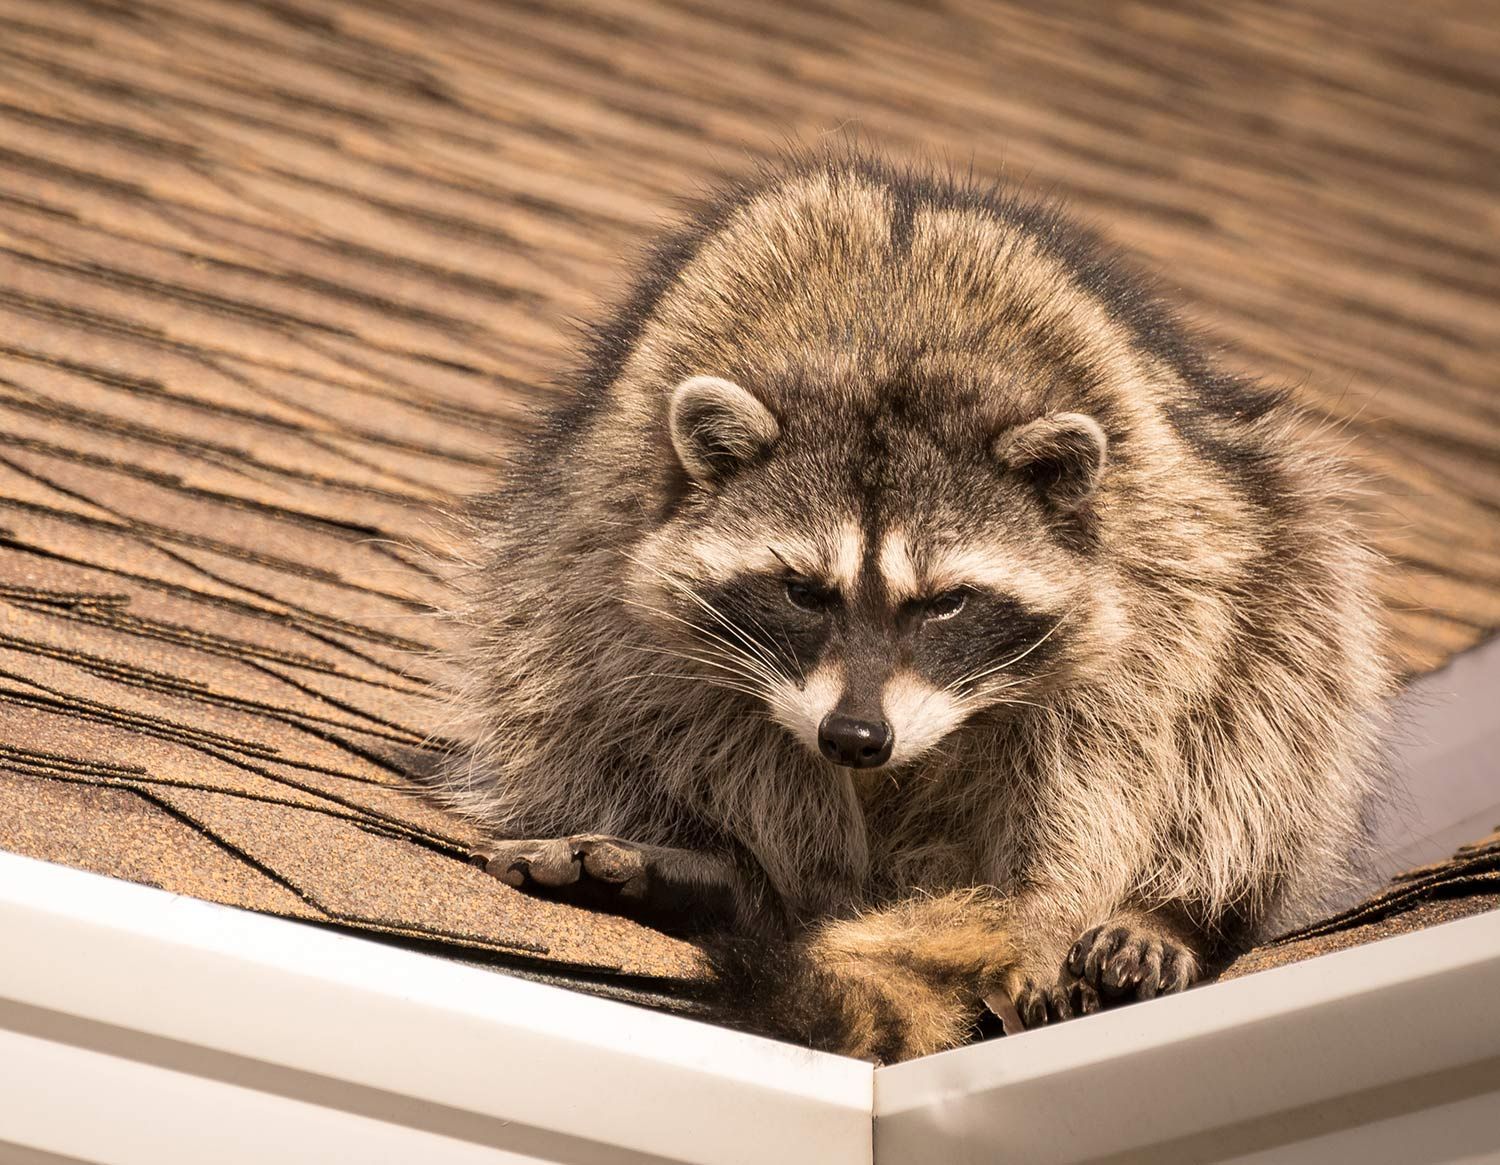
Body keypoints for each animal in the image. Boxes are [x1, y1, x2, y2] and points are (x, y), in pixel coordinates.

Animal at [434, 153, 1390, 1062]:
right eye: (803, 591)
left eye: (946, 604)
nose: (856, 736)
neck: (885, 356)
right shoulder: (623, 551)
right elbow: (697, 715)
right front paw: (798, 877)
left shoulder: (1153, 576)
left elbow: (1108, 753)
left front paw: (1046, 912)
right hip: (551, 567)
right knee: (554, 676)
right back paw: (730, 874)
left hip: (1271, 545)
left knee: (1274, 691)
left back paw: (1169, 909)